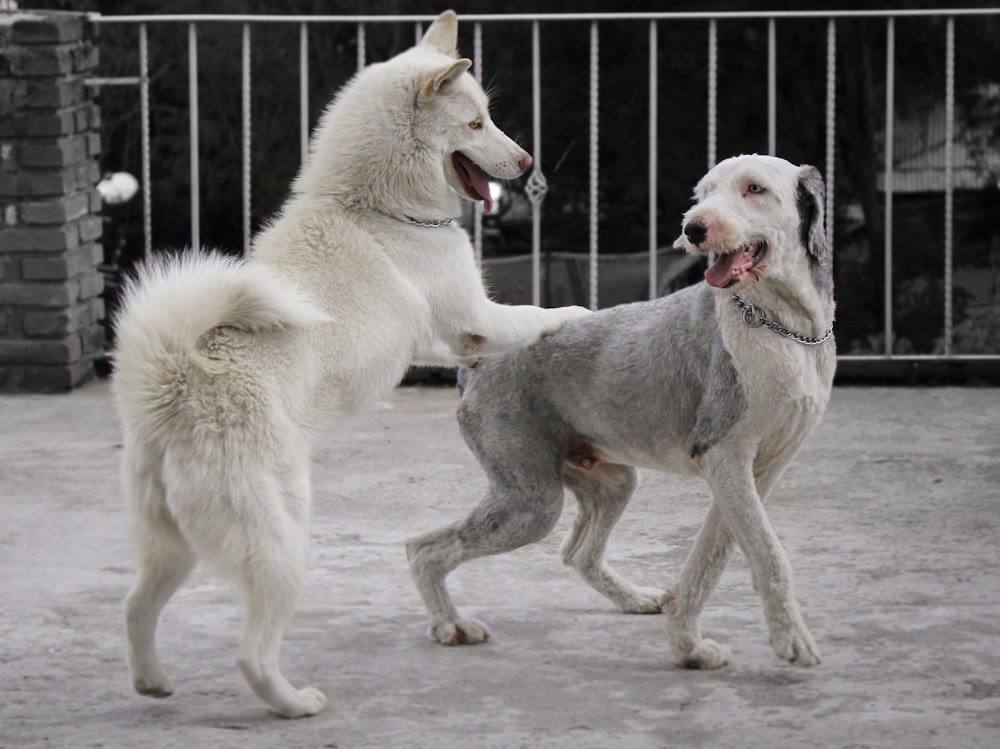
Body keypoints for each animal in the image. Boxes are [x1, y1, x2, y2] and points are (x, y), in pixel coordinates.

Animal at [113, 8, 588, 716]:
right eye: (477, 123)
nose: (529, 160)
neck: (373, 207)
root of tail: (178, 386)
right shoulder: (476, 320)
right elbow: (539, 315)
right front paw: (582, 314)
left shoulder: (443, 340)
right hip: (280, 545)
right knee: (250, 653)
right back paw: (294, 702)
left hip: (172, 549)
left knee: (134, 608)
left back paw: (153, 682)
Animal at [406, 155, 836, 668]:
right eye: (703, 194)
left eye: (755, 189)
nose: (693, 229)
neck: (783, 326)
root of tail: (479, 362)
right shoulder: (724, 455)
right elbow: (768, 553)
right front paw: (791, 640)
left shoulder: (755, 471)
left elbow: (713, 554)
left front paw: (689, 646)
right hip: (530, 501)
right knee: (423, 548)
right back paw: (449, 625)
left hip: (610, 482)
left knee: (578, 553)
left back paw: (633, 599)